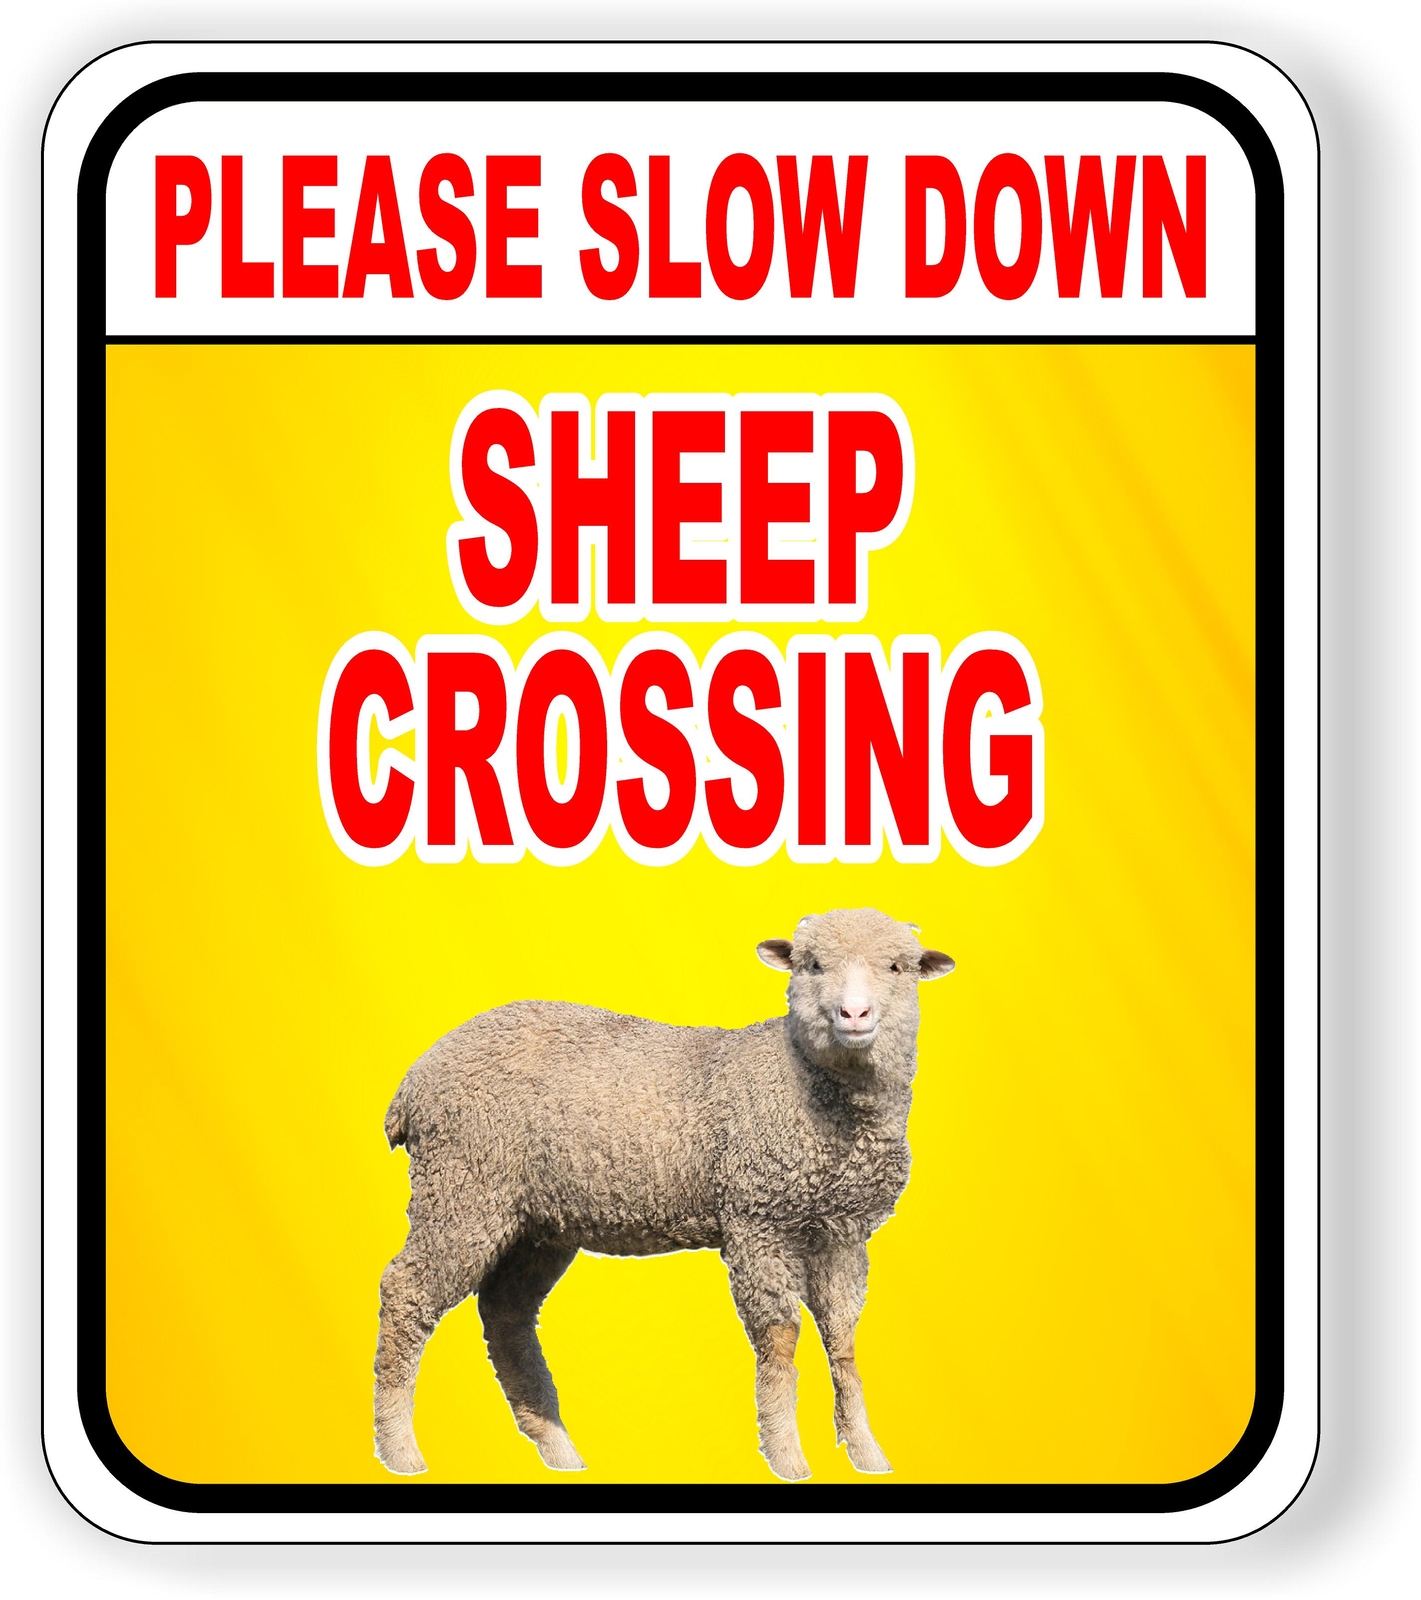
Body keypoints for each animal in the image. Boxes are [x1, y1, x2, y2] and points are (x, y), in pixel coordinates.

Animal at [372, 906, 954, 1481]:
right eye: (811, 965)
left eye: (898, 967)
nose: (853, 1014)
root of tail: (414, 1081)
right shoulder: (757, 1220)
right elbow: (780, 1338)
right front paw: (787, 1455)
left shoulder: (843, 1233)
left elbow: (843, 1339)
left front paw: (866, 1452)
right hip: (464, 1187)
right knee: (405, 1290)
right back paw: (399, 1448)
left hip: (534, 1223)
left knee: (506, 1314)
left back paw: (557, 1446)